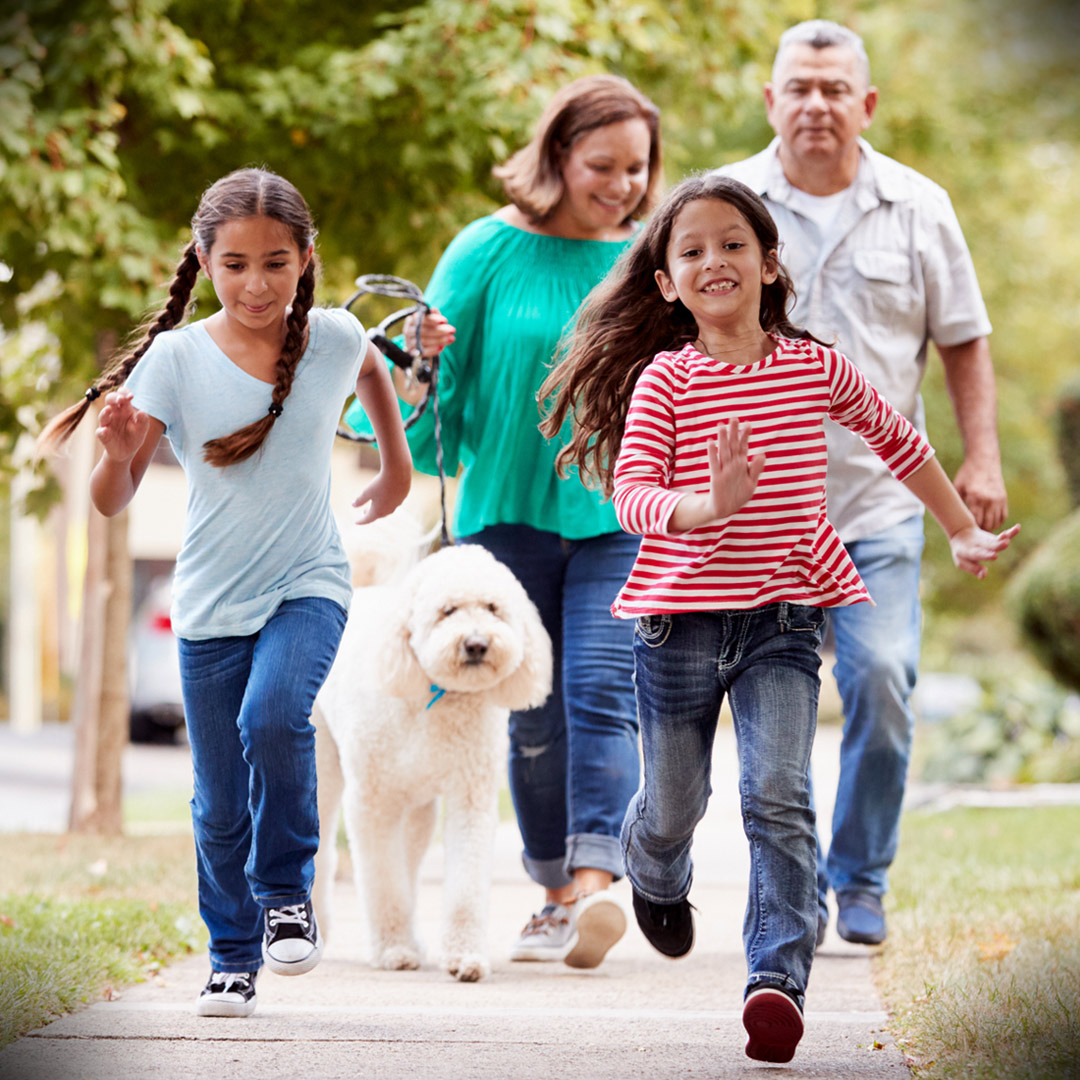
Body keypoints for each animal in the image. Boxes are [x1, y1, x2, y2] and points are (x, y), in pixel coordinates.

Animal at [311, 544, 548, 984]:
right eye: (447, 610)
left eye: (493, 608)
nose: (477, 644)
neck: (436, 695)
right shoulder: (372, 804)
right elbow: (383, 884)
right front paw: (394, 950)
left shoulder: (470, 799)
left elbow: (464, 887)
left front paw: (465, 956)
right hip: (323, 767)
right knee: (322, 851)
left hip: (418, 807)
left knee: (410, 859)